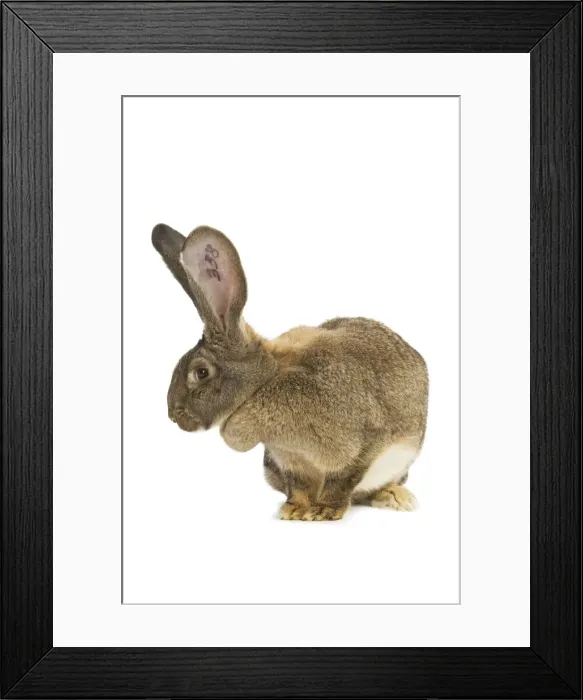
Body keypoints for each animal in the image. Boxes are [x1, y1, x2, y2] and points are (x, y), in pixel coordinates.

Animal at [152, 223, 428, 522]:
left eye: (201, 372)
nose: (173, 415)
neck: (264, 382)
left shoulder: (365, 443)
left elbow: (343, 481)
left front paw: (324, 511)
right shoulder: (289, 460)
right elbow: (299, 486)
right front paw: (294, 510)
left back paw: (396, 497)